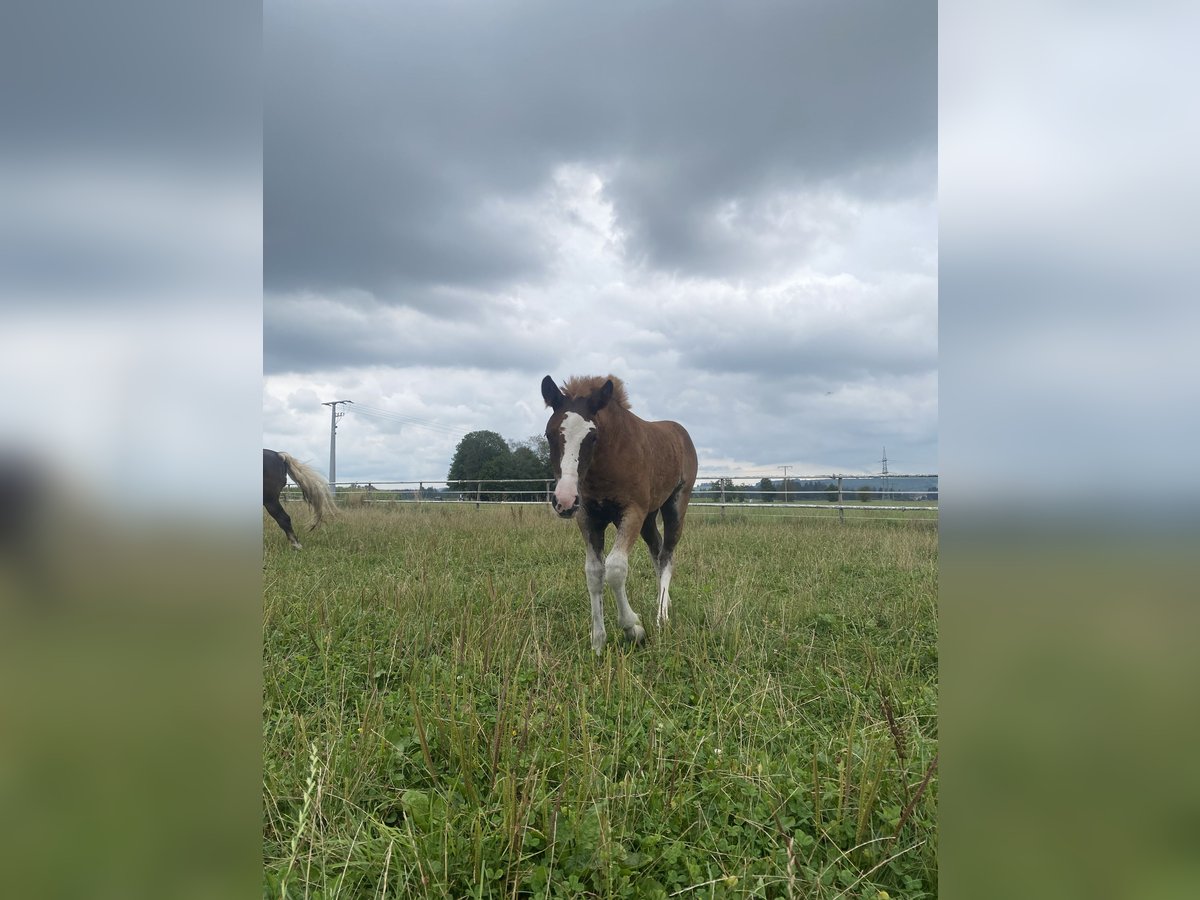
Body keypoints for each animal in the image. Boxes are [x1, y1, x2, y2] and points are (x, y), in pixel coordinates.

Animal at [542, 374, 700, 657]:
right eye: (549, 435)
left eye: (592, 437)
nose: (565, 500)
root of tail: (680, 431)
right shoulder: (588, 517)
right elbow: (594, 572)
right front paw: (597, 641)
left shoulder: (632, 512)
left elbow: (615, 569)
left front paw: (633, 628)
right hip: (649, 517)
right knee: (657, 551)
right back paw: (664, 602)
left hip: (675, 505)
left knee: (667, 554)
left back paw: (661, 616)